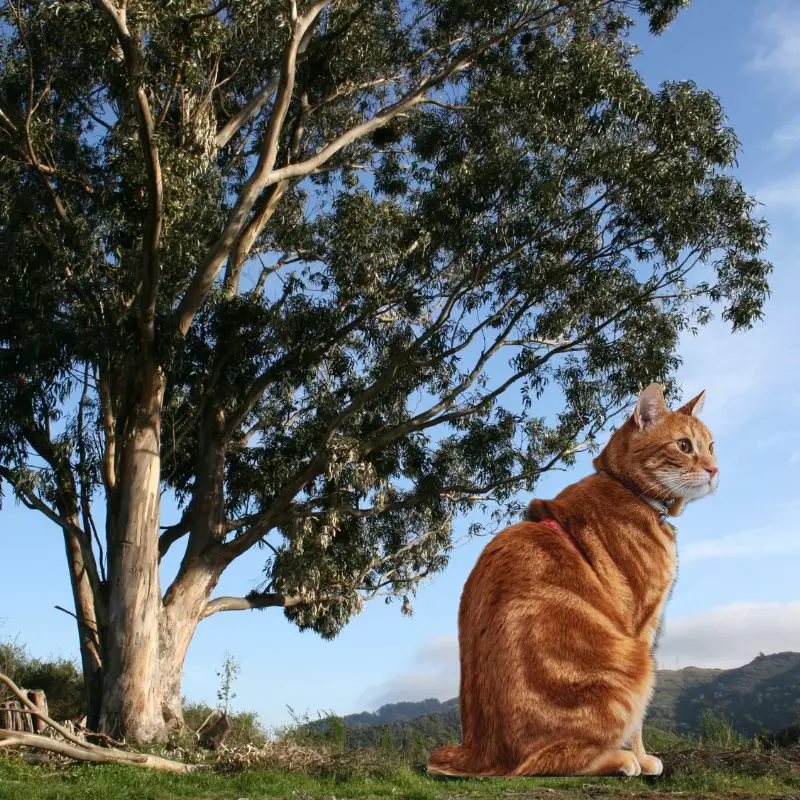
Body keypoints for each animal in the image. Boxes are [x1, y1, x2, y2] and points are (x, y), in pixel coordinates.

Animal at [428, 384, 716, 780]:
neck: (628, 489)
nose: (714, 469)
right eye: (684, 445)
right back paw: (618, 760)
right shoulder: (642, 626)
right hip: (634, 664)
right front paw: (642, 757)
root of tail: (480, 754)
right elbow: (638, 723)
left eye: (711, 445)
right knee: (543, 763)